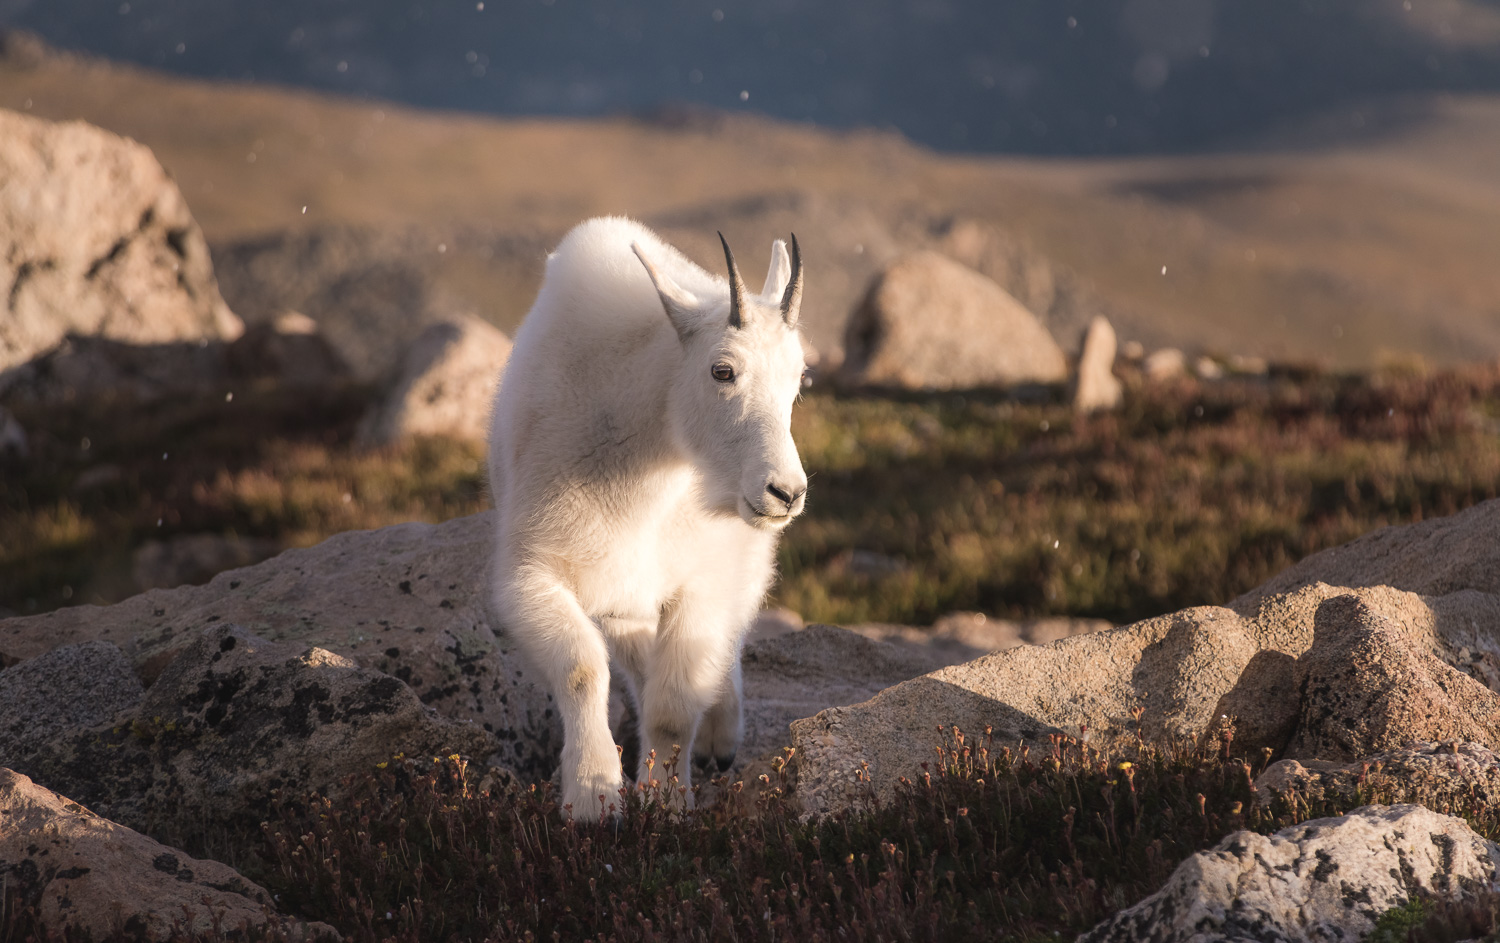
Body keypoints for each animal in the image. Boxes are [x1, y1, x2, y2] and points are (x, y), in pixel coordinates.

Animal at [489, 215, 810, 815]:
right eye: (722, 370)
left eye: (800, 378)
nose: (786, 492)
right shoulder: (533, 575)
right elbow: (582, 669)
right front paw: (593, 796)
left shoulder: (703, 581)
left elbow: (674, 705)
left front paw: (666, 801)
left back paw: (719, 739)